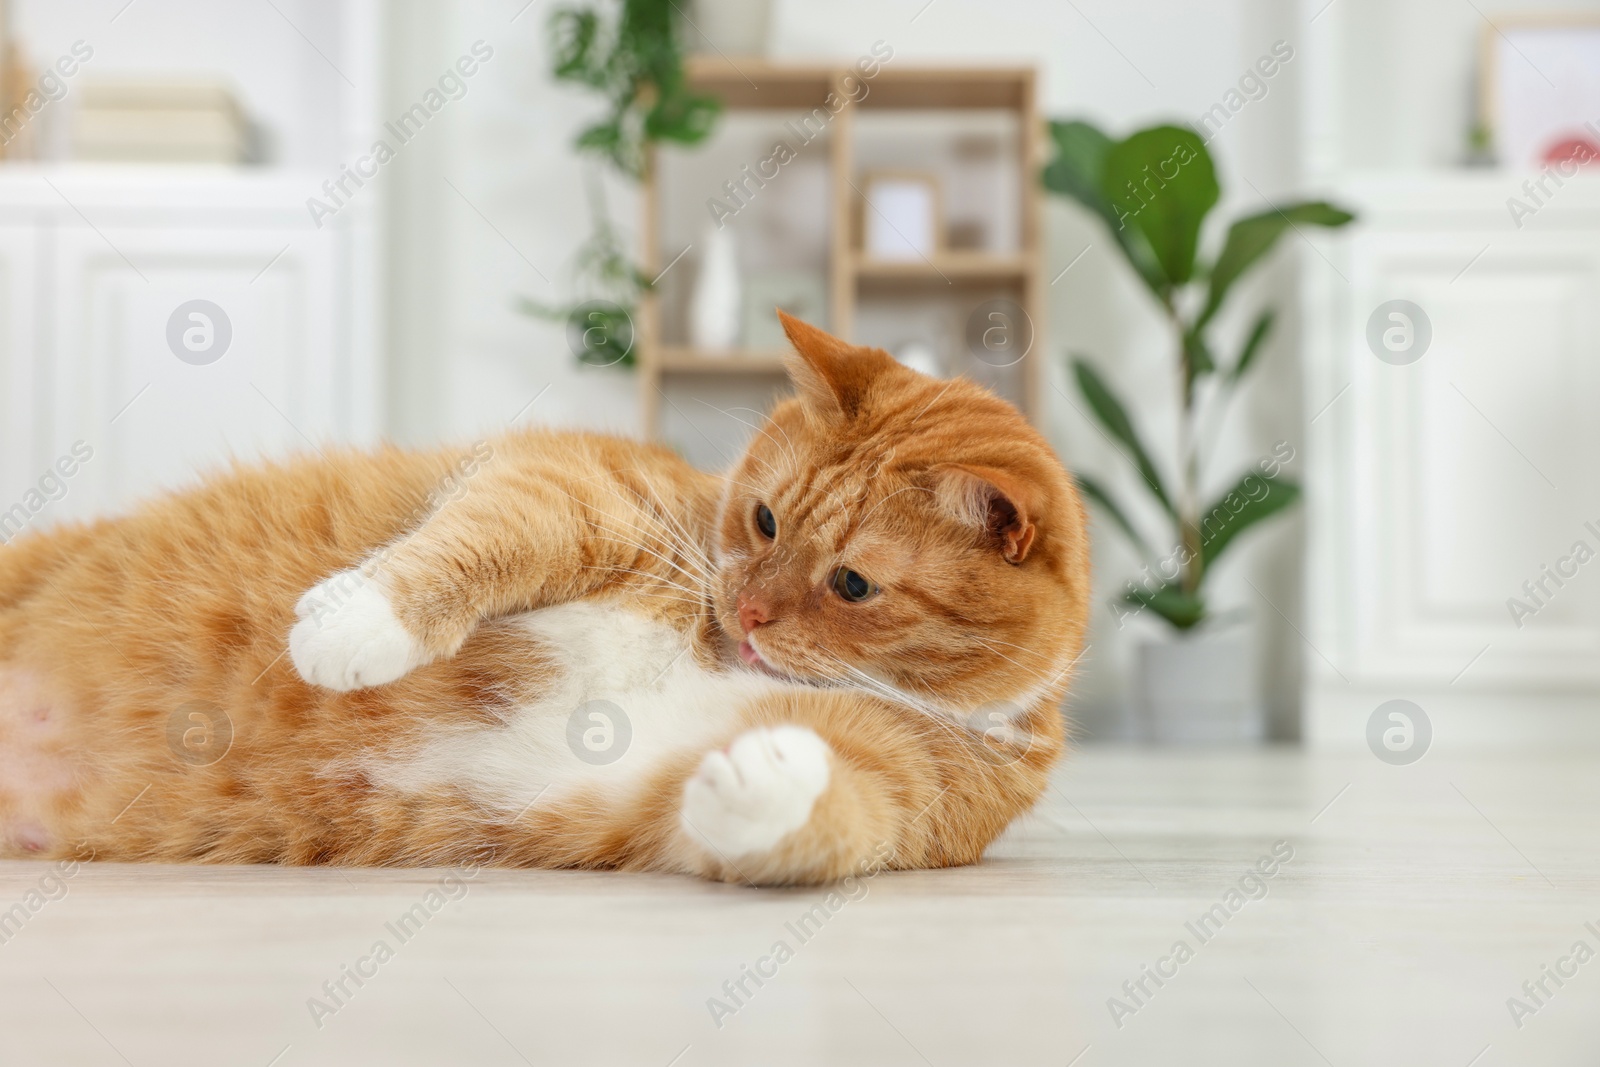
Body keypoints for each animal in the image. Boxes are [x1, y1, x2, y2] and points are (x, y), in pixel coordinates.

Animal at [0, 315, 1088, 883]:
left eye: (853, 584)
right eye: (766, 519)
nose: (744, 612)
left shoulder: (897, 782)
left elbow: (831, 808)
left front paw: (763, 773)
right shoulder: (579, 486)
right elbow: (484, 536)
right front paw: (359, 622)